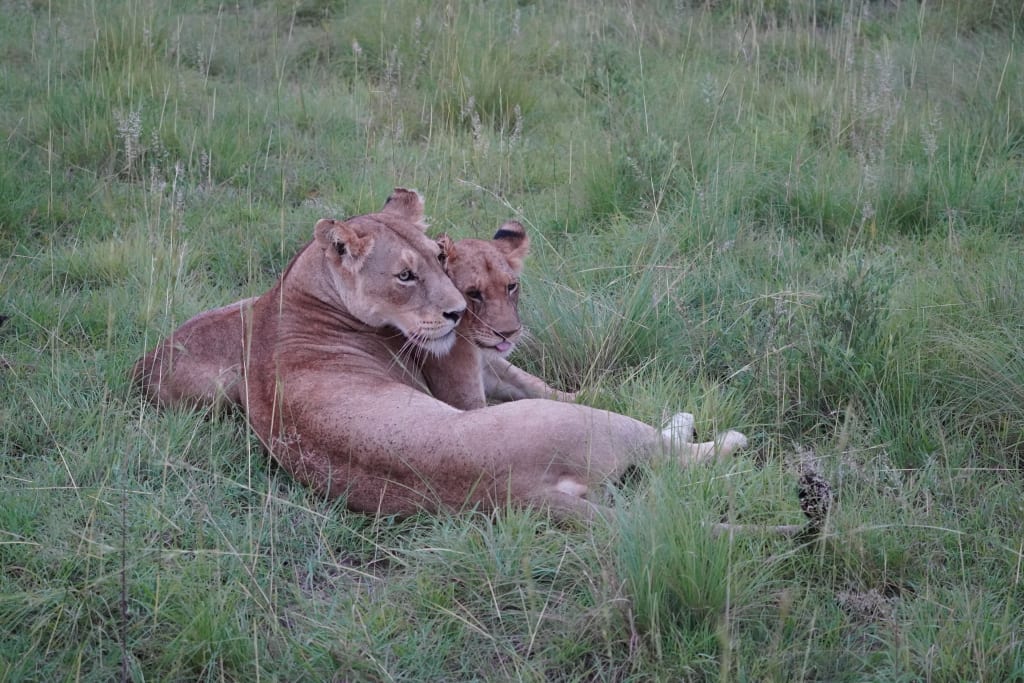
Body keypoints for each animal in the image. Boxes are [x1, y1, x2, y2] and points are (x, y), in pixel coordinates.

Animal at [135, 189, 747, 520]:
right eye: (405, 276)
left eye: (435, 257)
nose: (454, 314)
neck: (302, 290)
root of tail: (513, 495)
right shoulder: (463, 383)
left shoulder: (491, 363)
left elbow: (538, 377)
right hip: (593, 428)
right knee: (675, 455)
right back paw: (712, 432)